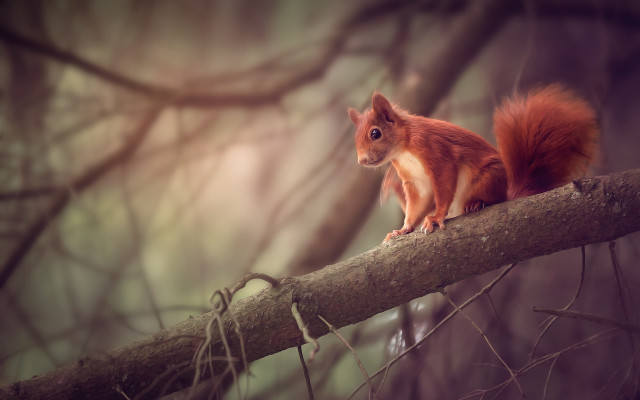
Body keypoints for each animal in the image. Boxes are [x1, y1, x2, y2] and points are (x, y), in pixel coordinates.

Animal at [347, 85, 599, 242]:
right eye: (355, 137)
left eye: (375, 133)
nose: (361, 160)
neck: (403, 150)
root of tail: (508, 191)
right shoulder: (415, 182)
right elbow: (417, 204)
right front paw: (403, 229)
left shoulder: (437, 152)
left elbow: (444, 184)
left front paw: (436, 217)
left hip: (487, 178)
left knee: (493, 198)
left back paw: (477, 203)